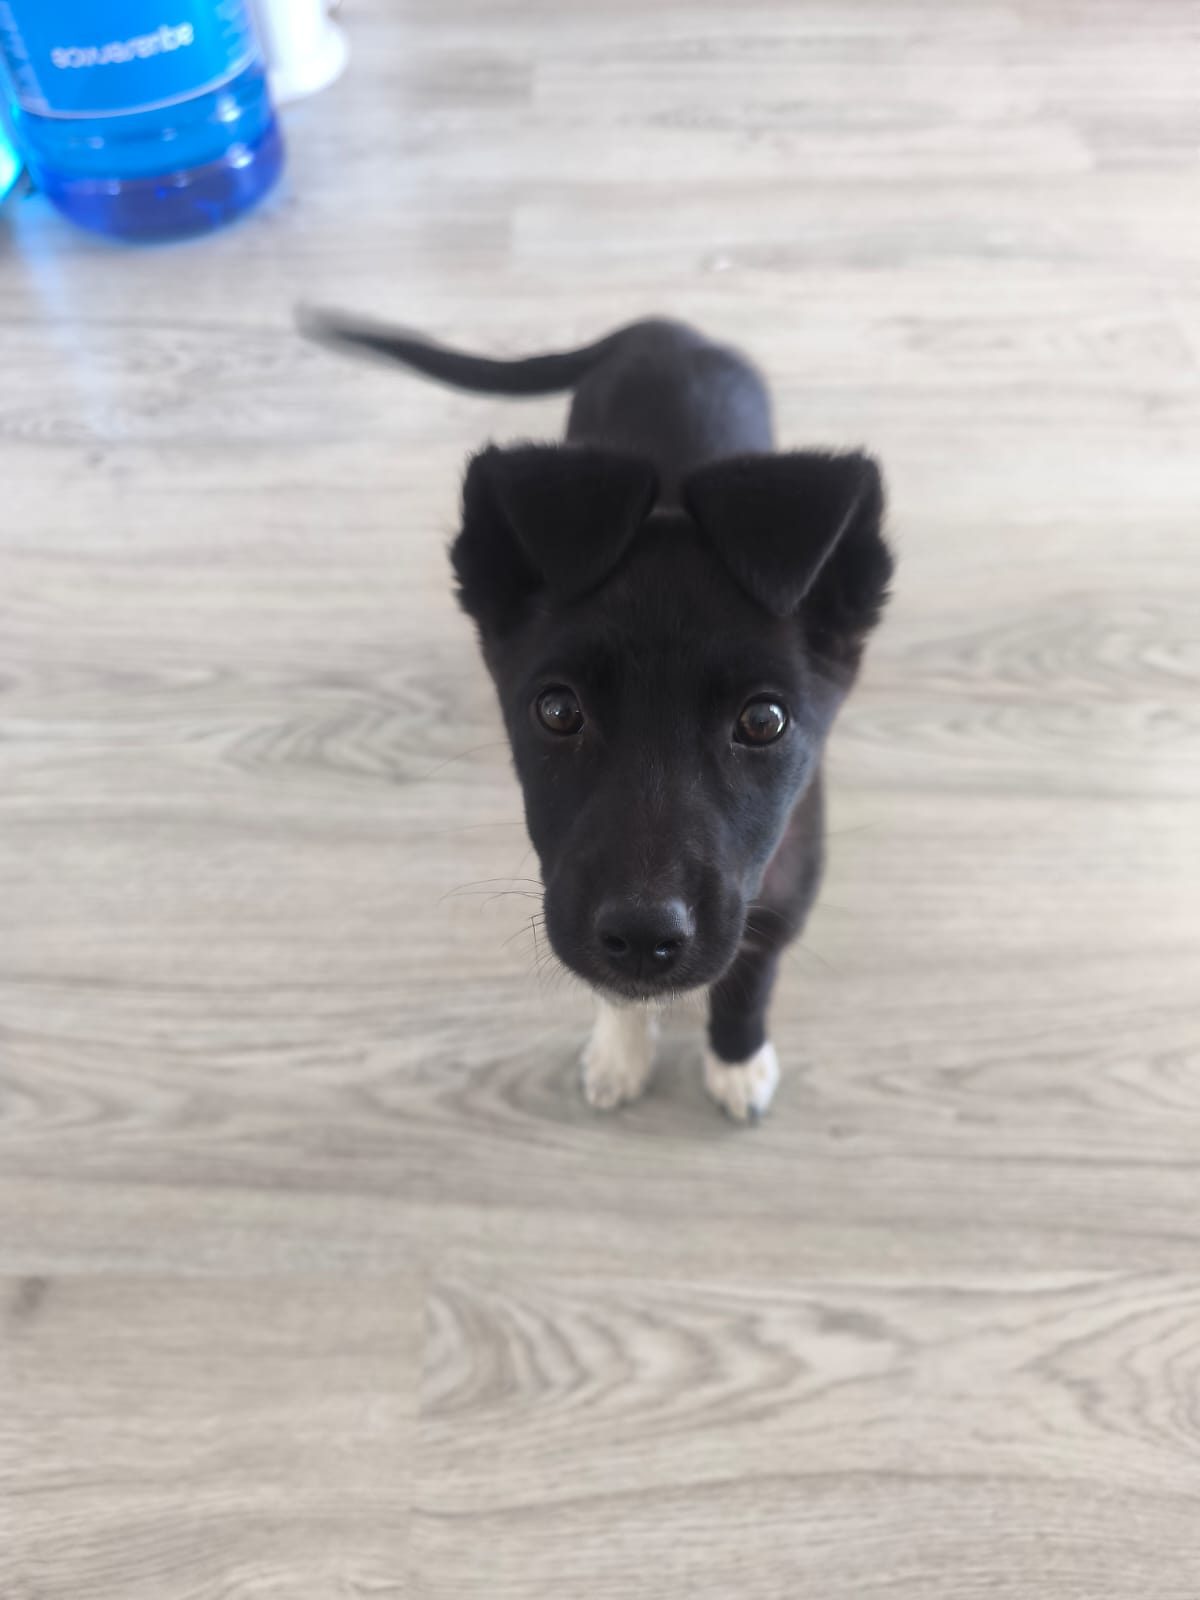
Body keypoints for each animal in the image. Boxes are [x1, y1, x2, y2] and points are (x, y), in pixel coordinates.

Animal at [303, 313, 893, 1120]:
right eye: (557, 709)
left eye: (764, 722)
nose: (644, 937)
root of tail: (665, 326)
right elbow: (614, 990)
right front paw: (622, 1052)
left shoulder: (779, 902)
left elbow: (749, 982)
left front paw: (737, 1061)